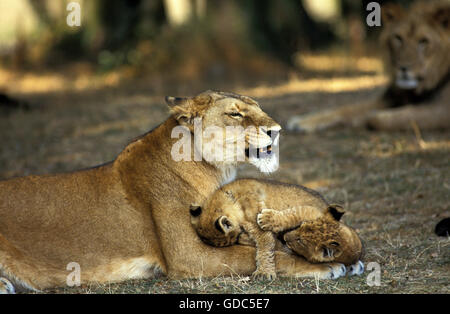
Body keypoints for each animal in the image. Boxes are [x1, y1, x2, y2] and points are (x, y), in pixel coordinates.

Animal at [0, 90, 344, 292]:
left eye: (258, 108)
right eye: (235, 114)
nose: (277, 130)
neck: (213, 169)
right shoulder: (187, 255)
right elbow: (255, 254)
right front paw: (330, 265)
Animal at [288, 0, 450, 132]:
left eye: (423, 41)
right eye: (398, 38)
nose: (403, 68)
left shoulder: (443, 110)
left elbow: (378, 118)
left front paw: (365, 117)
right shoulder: (390, 98)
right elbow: (345, 109)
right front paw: (301, 121)